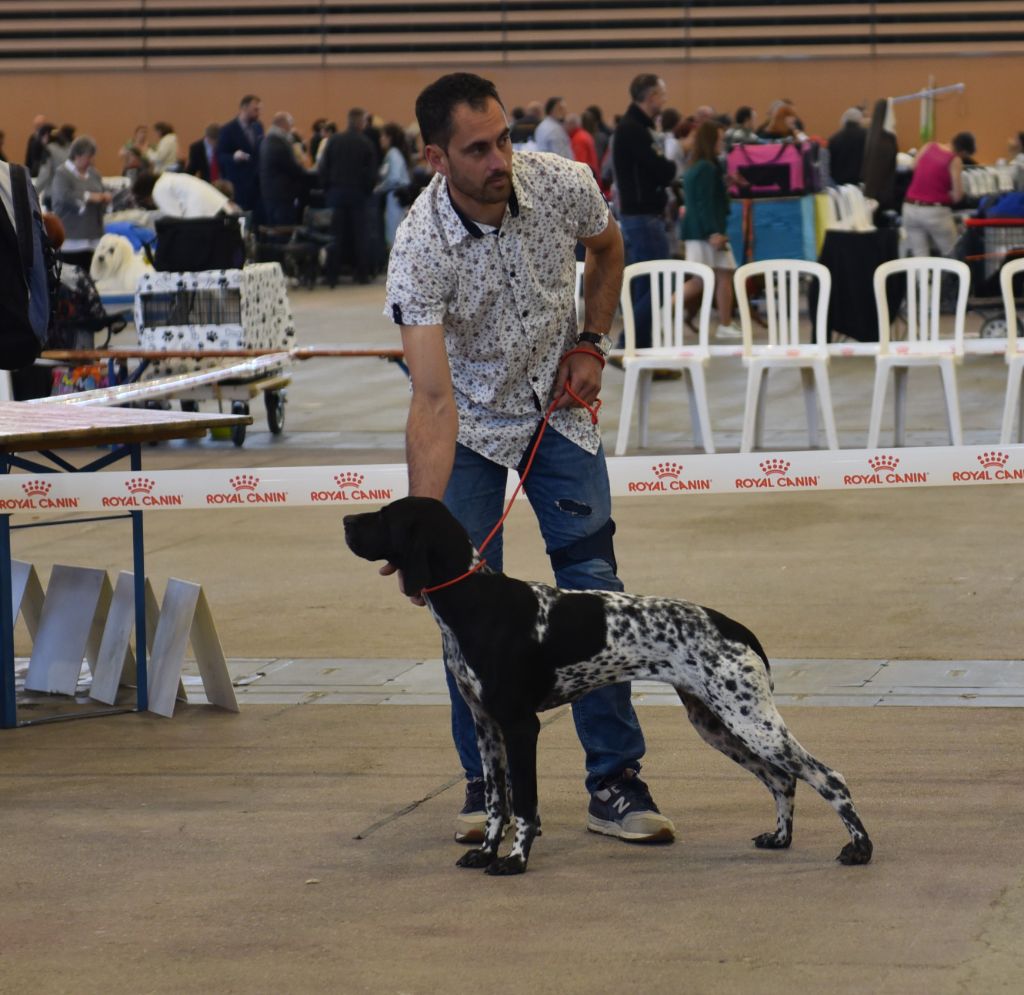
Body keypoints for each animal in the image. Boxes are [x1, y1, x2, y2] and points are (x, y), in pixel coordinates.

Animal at [344, 493, 872, 876]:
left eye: (386, 516)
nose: (347, 520)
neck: (474, 600)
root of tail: (736, 627)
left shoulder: (520, 726)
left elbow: (526, 804)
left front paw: (515, 861)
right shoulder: (486, 727)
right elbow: (497, 802)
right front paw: (486, 852)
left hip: (750, 721)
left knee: (827, 776)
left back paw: (859, 848)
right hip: (716, 723)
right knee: (782, 779)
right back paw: (779, 838)